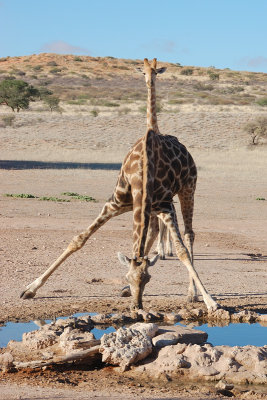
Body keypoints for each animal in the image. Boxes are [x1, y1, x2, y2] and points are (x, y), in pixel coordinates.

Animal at [19, 57, 219, 310]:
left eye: (148, 279)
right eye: (128, 277)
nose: (137, 305)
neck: (143, 176)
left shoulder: (165, 207)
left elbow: (181, 250)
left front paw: (210, 299)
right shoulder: (116, 204)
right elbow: (79, 239)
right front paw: (30, 288)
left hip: (188, 188)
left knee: (189, 234)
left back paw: (192, 293)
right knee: (155, 234)